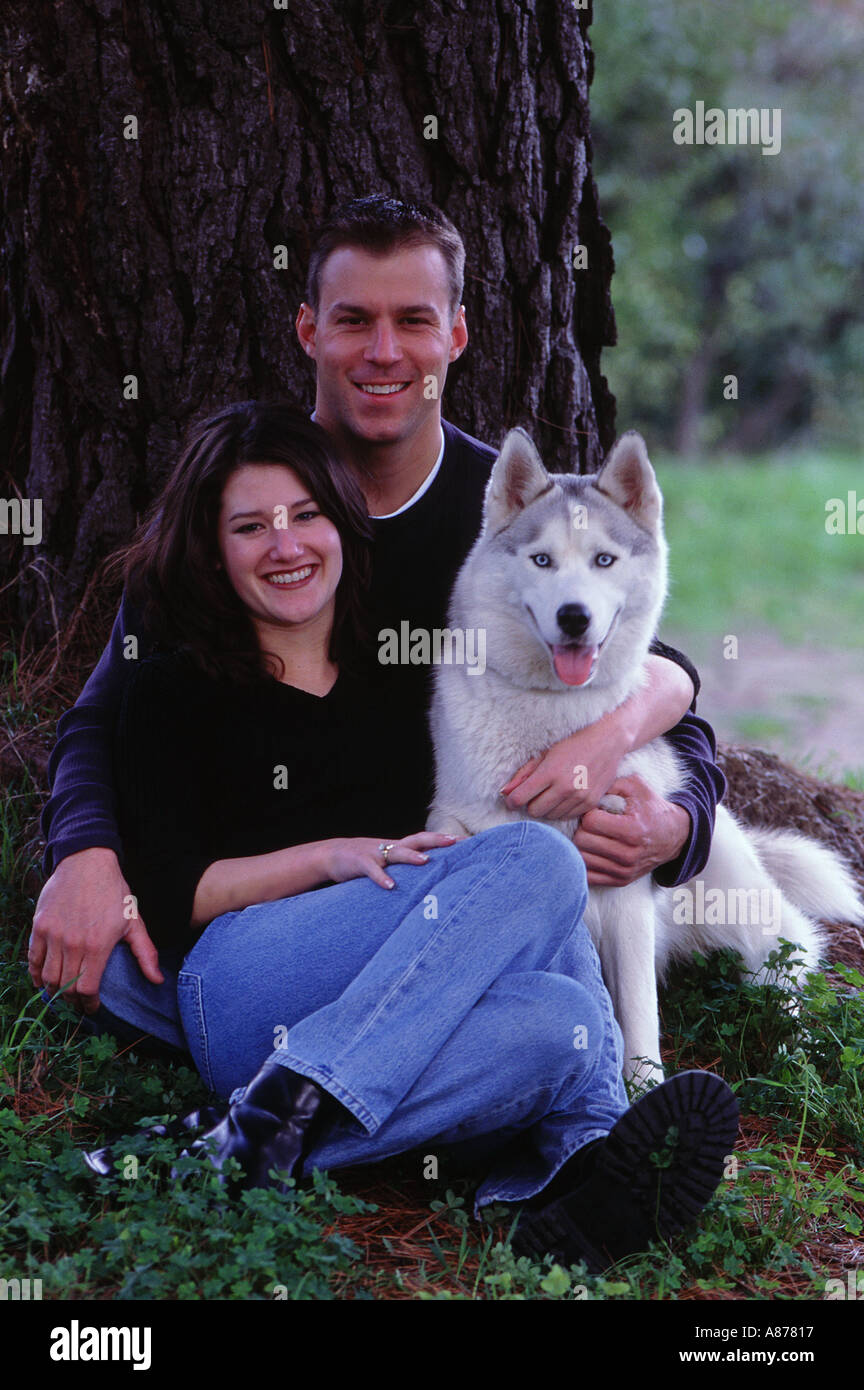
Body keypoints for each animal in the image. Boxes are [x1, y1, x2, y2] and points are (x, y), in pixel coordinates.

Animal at [427, 430, 864, 1084]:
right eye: (541, 560)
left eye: (604, 560)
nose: (574, 617)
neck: (556, 723)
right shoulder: (453, 824)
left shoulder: (627, 892)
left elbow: (637, 1011)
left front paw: (645, 1082)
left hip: (736, 902)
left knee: (789, 961)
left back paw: (793, 1051)